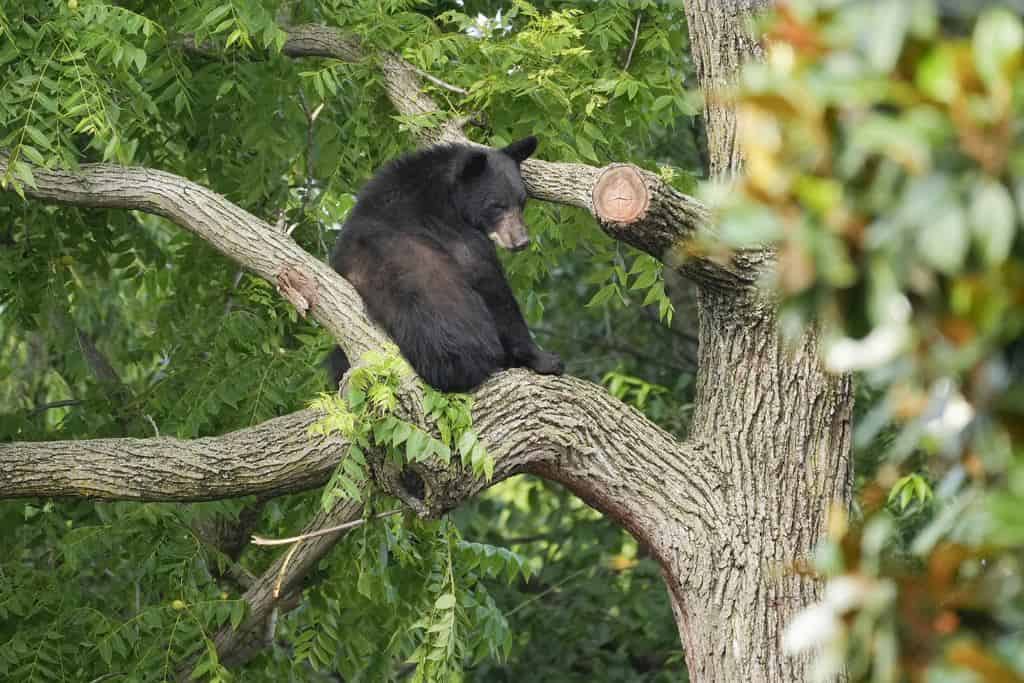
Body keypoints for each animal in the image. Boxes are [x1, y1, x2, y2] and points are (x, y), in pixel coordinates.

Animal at [327, 137, 565, 393]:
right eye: (496, 205)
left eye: (521, 202)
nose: (521, 241)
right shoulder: (456, 233)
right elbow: (493, 288)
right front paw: (545, 359)